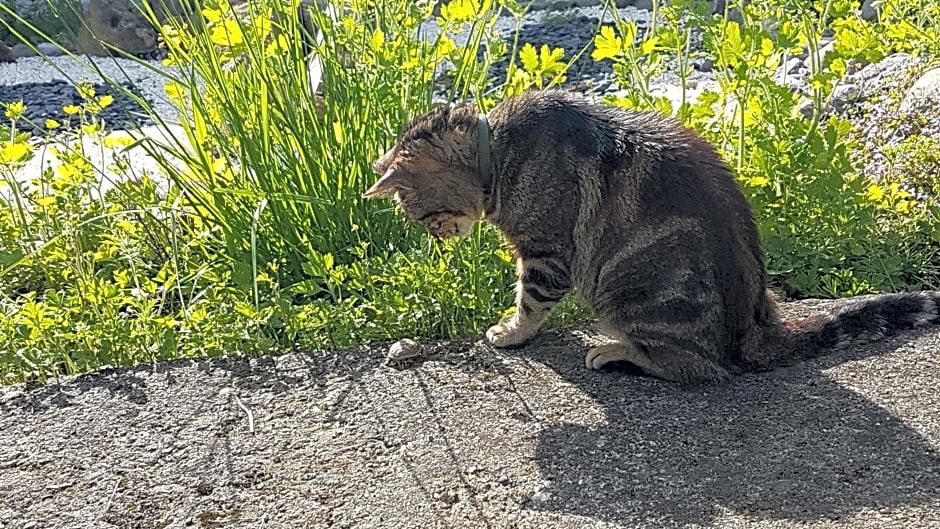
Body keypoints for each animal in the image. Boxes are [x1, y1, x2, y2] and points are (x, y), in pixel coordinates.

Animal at [362, 87, 940, 384]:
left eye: (416, 214)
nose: (436, 239)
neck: (495, 152)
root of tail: (758, 325)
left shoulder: (547, 255)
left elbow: (529, 302)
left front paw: (509, 332)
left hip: (629, 288)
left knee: (698, 367)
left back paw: (617, 352)